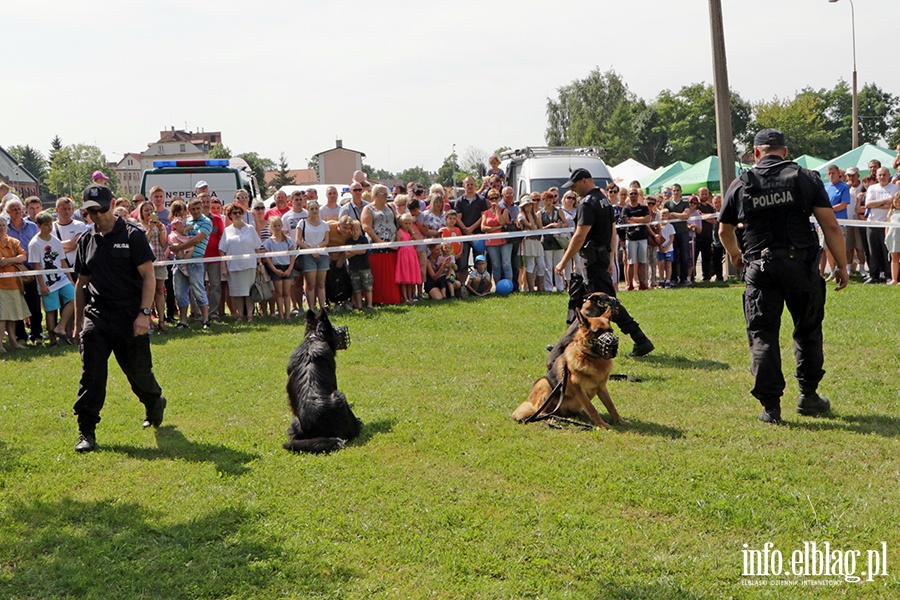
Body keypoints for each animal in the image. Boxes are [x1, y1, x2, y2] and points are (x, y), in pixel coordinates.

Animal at [510, 304, 628, 432]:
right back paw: (550, 419)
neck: (590, 358)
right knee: (541, 411)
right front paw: (601, 425)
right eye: (598, 332)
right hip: (544, 384)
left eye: (610, 331)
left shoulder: (601, 387)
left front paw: (620, 420)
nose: (613, 344)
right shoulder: (579, 390)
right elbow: (592, 408)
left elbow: (611, 406)